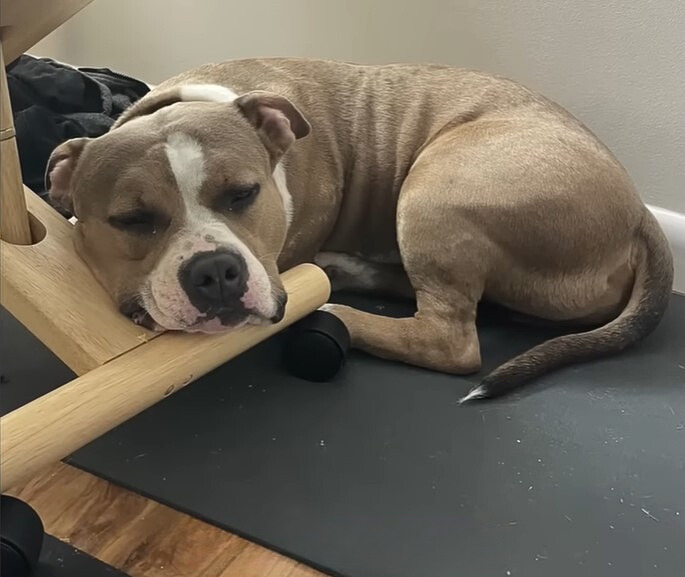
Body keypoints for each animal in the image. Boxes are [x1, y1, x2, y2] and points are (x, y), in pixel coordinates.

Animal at [45, 59, 672, 400]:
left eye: (243, 194)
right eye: (132, 220)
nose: (216, 271)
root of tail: (641, 214)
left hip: (436, 185)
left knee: (449, 338)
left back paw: (334, 308)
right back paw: (343, 271)